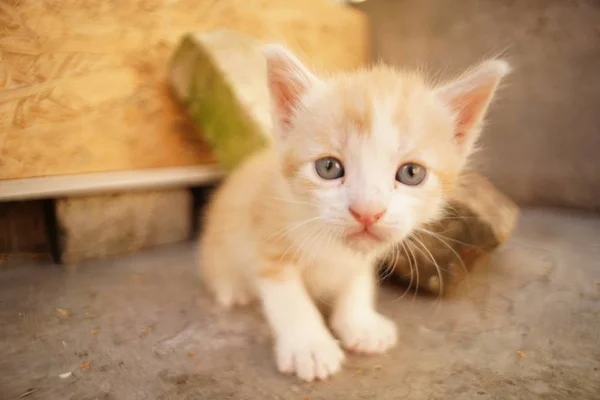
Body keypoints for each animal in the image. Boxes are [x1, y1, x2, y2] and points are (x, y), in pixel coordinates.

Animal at [199, 46, 508, 382]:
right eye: (328, 167)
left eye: (412, 173)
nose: (367, 212)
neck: (332, 246)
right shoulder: (267, 238)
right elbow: (289, 298)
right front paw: (310, 346)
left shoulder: (362, 257)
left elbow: (357, 281)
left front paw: (360, 323)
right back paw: (234, 290)